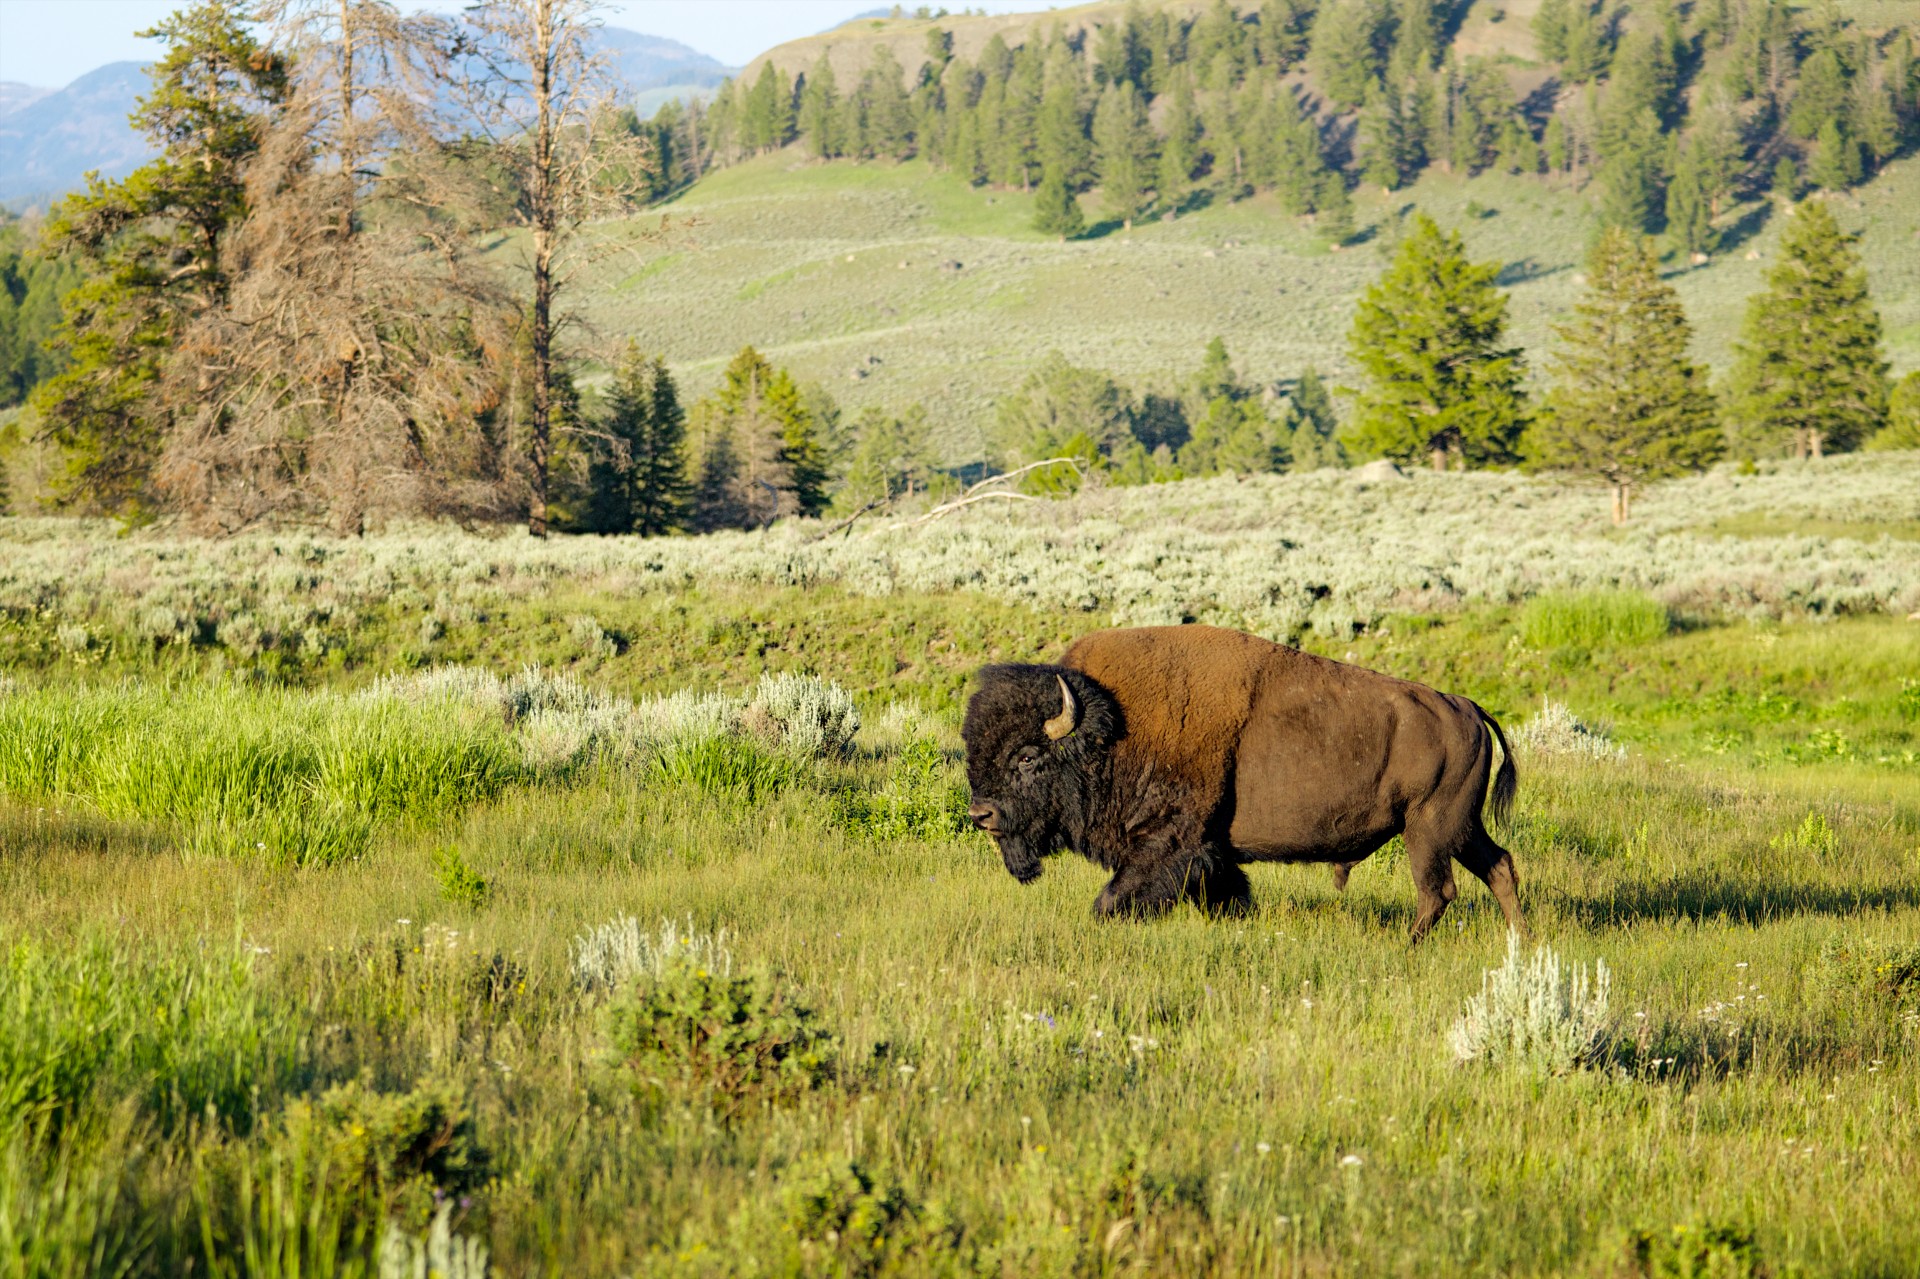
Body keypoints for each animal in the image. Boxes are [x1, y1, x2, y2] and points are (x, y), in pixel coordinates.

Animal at [967, 622, 1520, 941]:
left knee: (1438, 890)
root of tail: (1468, 707)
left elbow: (1112, 900)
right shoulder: (1213, 853)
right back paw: (1521, 939)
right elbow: (1228, 893)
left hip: (1427, 829)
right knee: (1499, 868)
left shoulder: (1165, 844)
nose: (980, 814)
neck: (1112, 725)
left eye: (1028, 756)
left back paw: (1407, 945)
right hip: (1461, 828)